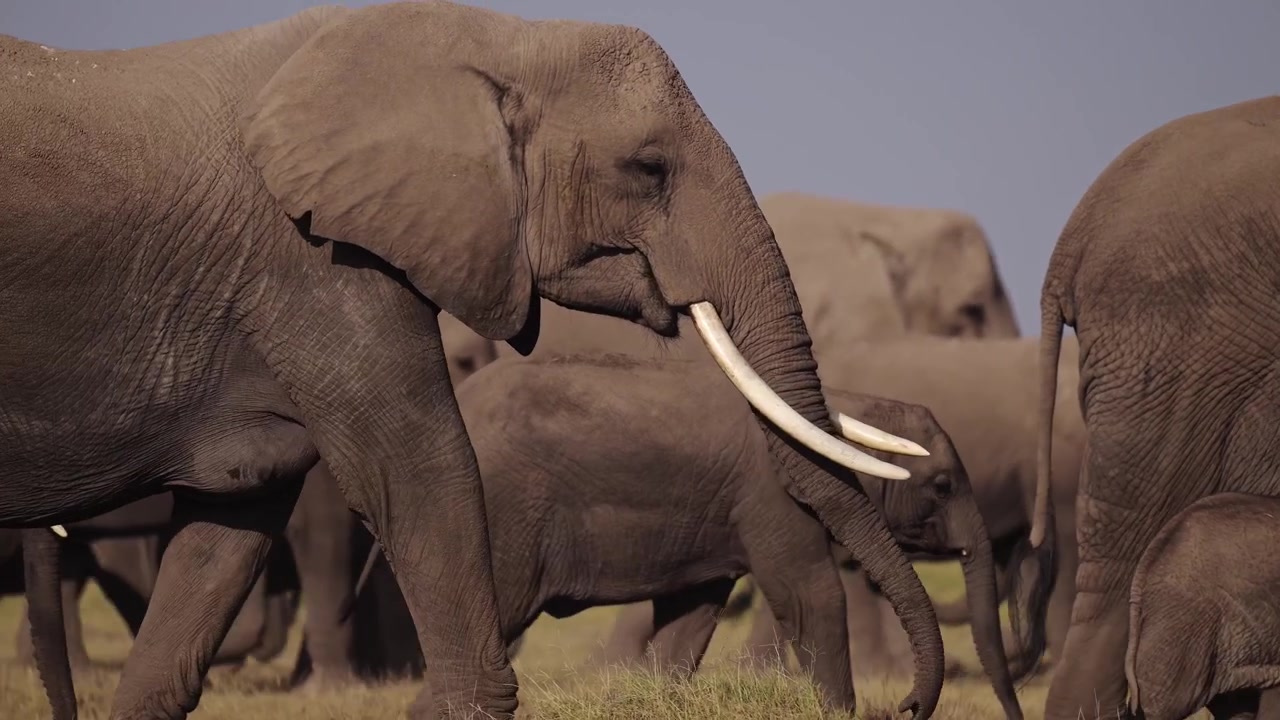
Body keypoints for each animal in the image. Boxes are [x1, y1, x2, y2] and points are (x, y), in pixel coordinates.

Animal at [4, 3, 939, 716]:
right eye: (649, 168)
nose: (905, 706)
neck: (494, 39)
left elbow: (226, 533)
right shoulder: (318, 263)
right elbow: (421, 473)